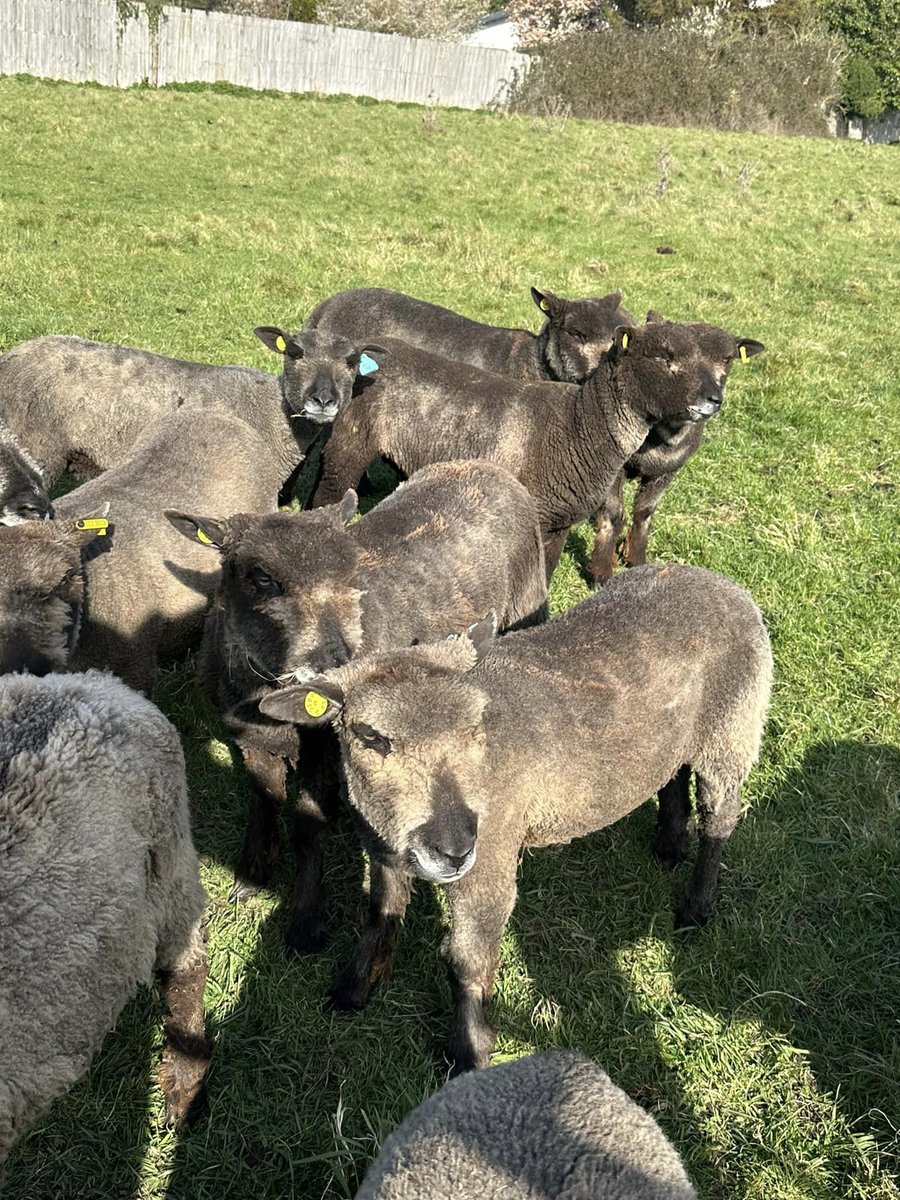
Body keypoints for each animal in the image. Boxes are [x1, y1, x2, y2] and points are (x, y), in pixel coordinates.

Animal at [0, 328, 384, 484]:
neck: (272, 413)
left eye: (353, 361)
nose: (323, 400)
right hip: (36, 447)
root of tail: (10, 358)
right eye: (294, 352)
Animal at [165, 460, 548, 952]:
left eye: (351, 575)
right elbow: (264, 799)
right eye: (263, 578)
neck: (269, 701)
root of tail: (487, 467)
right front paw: (251, 875)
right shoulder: (251, 740)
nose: (338, 660)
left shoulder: (331, 757)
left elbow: (309, 826)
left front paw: (305, 921)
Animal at [260, 562, 773, 1071]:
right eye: (371, 737)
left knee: (720, 816)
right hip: (677, 738)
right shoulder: (384, 850)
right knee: (671, 776)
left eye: (475, 726)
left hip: (731, 730)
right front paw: (354, 989)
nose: (454, 847)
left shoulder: (488, 863)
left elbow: (466, 961)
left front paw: (470, 1050)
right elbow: (381, 913)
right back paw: (669, 844)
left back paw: (695, 906)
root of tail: (718, 581)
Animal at [311, 321, 765, 578]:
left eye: (727, 359)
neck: (580, 424)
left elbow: (547, 574)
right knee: (327, 492)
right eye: (663, 356)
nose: (713, 400)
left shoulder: (558, 522)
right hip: (350, 443)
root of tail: (361, 348)